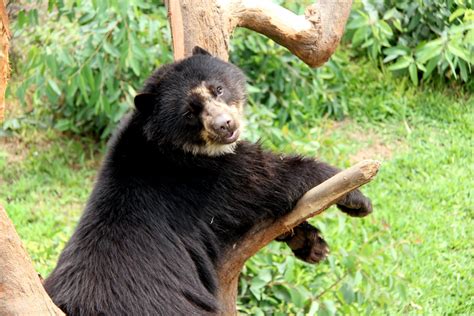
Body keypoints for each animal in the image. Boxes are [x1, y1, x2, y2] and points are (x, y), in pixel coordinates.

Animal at [43, 45, 370, 314]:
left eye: (218, 89)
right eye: (190, 112)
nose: (226, 125)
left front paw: (311, 244)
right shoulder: (204, 177)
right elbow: (270, 179)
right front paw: (356, 199)